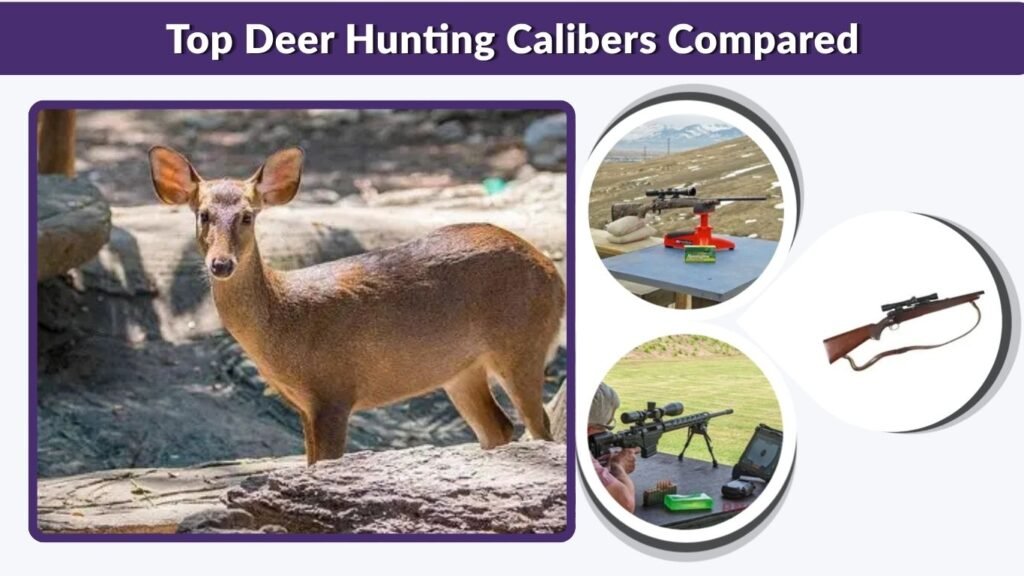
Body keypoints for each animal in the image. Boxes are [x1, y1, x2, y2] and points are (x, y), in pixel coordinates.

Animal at [149, 146, 564, 464]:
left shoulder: (335, 391)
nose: (221, 264)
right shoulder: (305, 405)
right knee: (500, 428)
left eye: (247, 216)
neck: (285, 325)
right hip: (461, 370)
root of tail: (552, 271)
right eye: (202, 215)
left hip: (523, 341)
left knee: (541, 426)